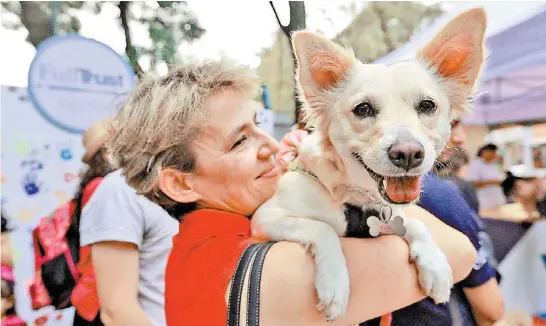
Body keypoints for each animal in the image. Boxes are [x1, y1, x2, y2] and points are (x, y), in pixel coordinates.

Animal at [251, 7, 484, 320]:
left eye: (427, 106)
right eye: (363, 109)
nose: (408, 153)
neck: (356, 201)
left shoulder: (391, 218)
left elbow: (414, 223)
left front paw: (435, 265)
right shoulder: (266, 217)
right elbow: (322, 228)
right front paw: (335, 283)